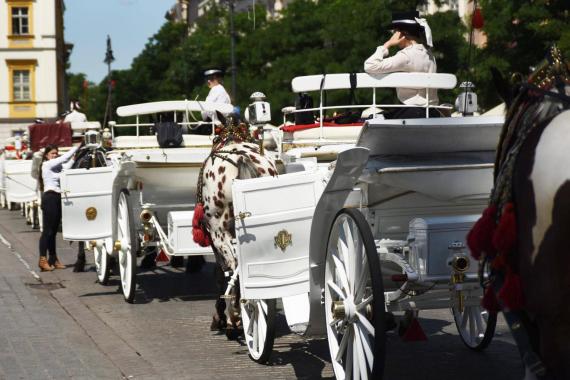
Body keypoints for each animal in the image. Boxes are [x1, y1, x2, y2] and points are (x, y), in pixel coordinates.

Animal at [192, 115, 278, 336]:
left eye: (215, 137)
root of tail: (240, 159)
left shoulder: (214, 240)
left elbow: (220, 275)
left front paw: (221, 317)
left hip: (219, 233)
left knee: (233, 267)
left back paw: (236, 316)